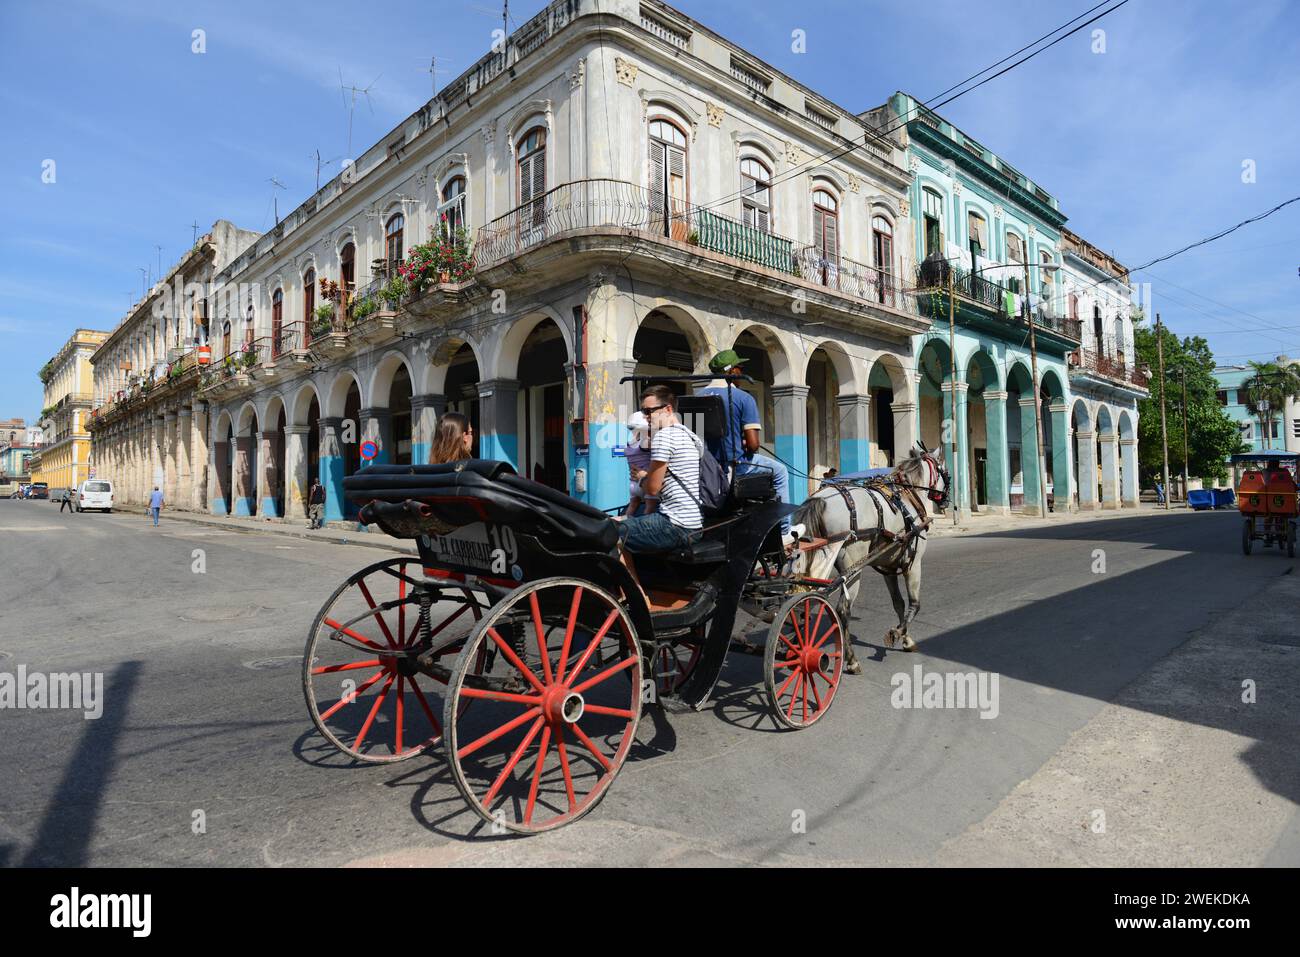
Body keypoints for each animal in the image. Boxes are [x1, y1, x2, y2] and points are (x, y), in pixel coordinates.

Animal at [785, 447, 951, 665]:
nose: (947, 499)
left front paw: (905, 639)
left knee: (805, 601)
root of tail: (819, 499)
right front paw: (898, 634)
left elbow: (898, 603)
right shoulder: (913, 564)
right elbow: (915, 604)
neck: (907, 496)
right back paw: (850, 660)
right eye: (946, 472)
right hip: (852, 568)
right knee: (842, 610)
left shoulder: (889, 567)